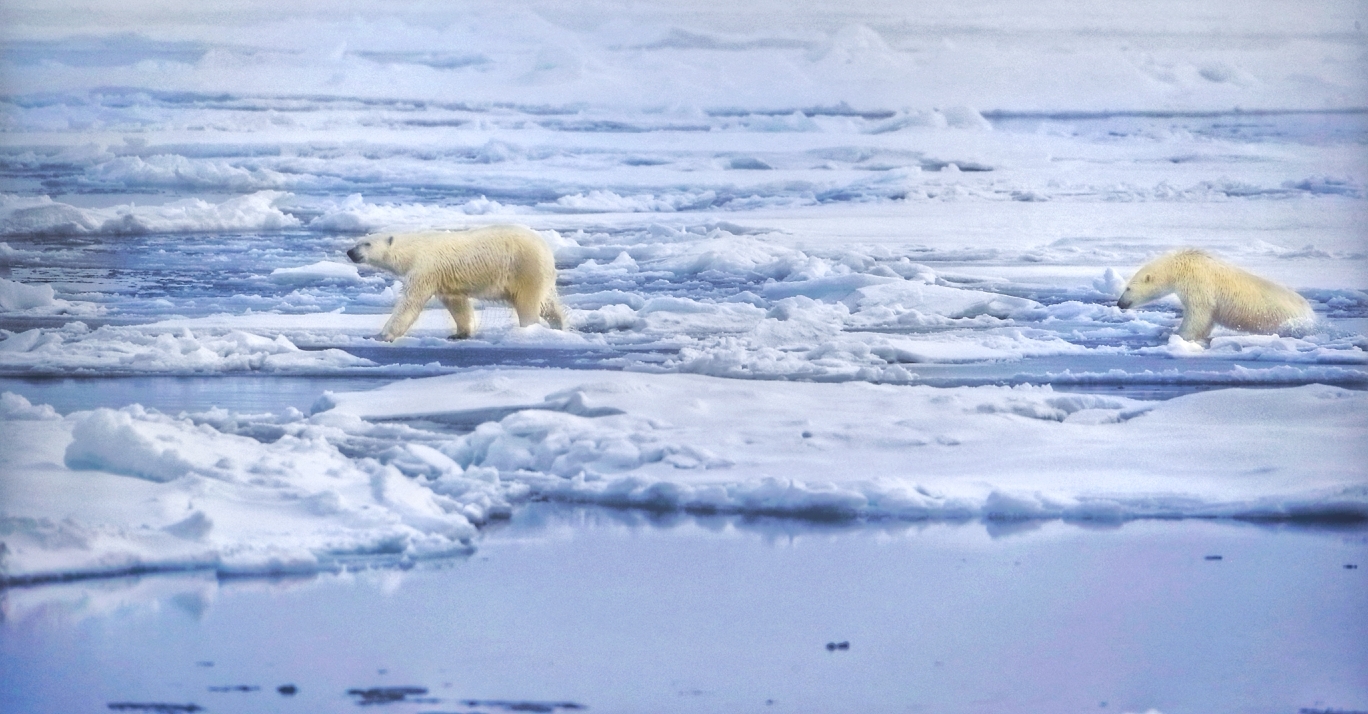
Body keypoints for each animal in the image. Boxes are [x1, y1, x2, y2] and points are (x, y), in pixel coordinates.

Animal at [352, 225, 571, 341]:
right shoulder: (444, 279)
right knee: (546, 303)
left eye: (366, 244)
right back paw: (560, 325)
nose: (350, 252)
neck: (413, 250)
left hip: (524, 268)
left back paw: (528, 330)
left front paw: (382, 334)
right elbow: (457, 304)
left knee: (527, 303)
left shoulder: (425, 268)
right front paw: (460, 334)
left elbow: (410, 302)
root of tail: (547, 250)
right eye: (357, 242)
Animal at [1116, 247, 1318, 341]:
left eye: (1128, 288)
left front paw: (1177, 334)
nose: (1119, 303)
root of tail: (1310, 311)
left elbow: (1198, 313)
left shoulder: (1198, 283)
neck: (1180, 266)